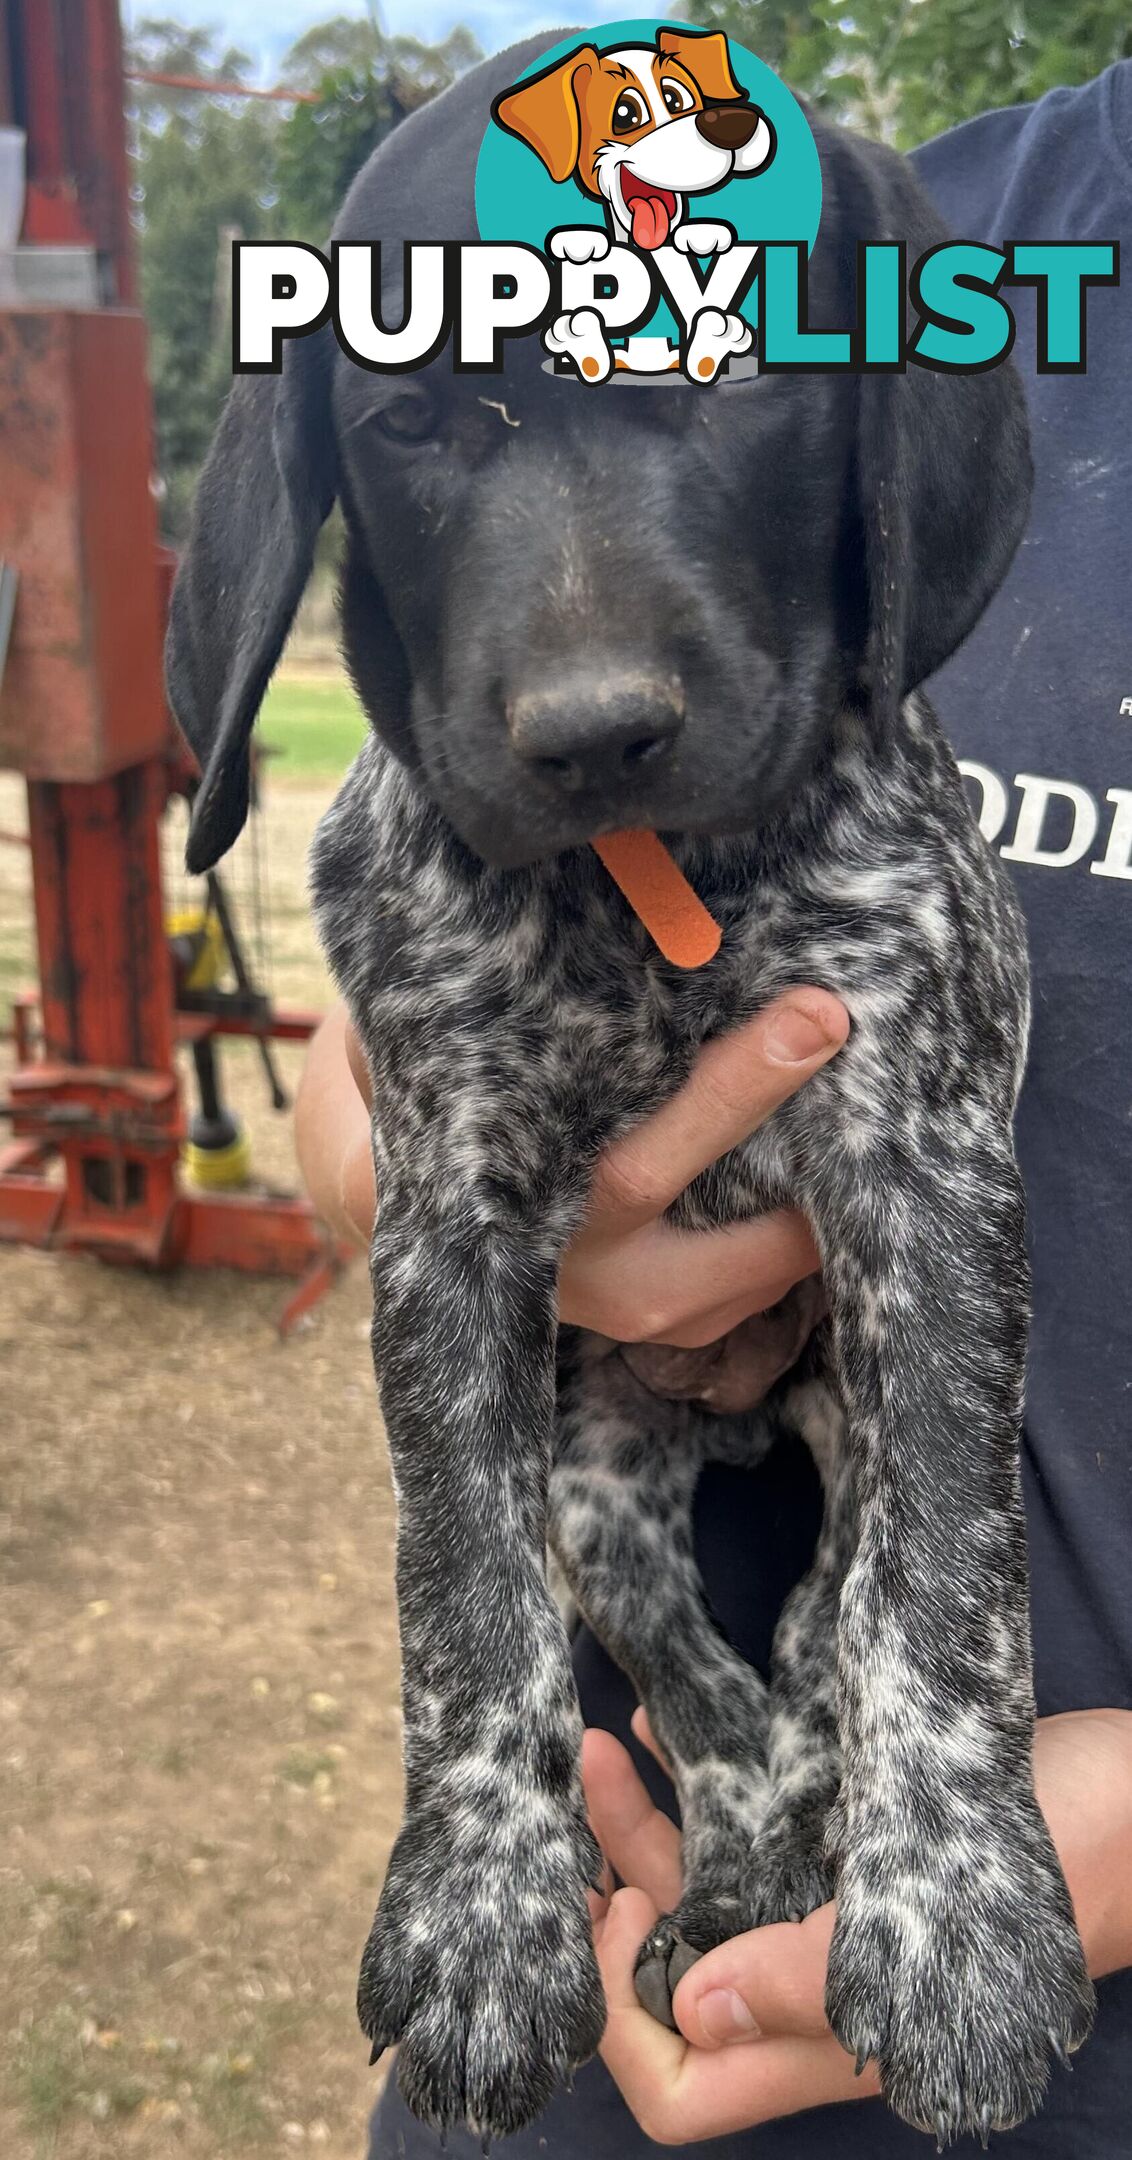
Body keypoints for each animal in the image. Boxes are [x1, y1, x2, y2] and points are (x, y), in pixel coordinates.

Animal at [163, 33, 1093, 2160]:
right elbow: (460, 1594)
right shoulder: (443, 1223)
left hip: (831, 1394)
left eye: (745, 371)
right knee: (709, 1695)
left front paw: (965, 1923)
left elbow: (945, 1587)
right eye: (411, 416)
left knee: (825, 1634)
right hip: (600, 1473)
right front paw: (481, 1916)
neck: (643, 900)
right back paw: (736, 1878)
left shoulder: (927, 1179)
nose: (592, 735)